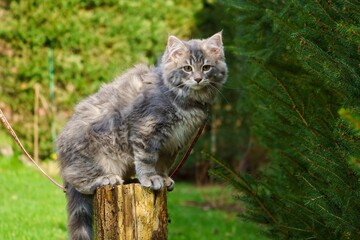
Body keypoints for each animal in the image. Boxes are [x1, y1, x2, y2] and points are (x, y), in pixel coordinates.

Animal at [58, 32, 228, 240]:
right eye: (187, 68)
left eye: (206, 67)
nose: (197, 78)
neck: (185, 102)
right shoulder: (146, 128)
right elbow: (147, 159)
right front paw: (150, 178)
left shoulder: (174, 142)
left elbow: (163, 163)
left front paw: (163, 178)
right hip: (91, 154)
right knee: (77, 179)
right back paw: (104, 179)